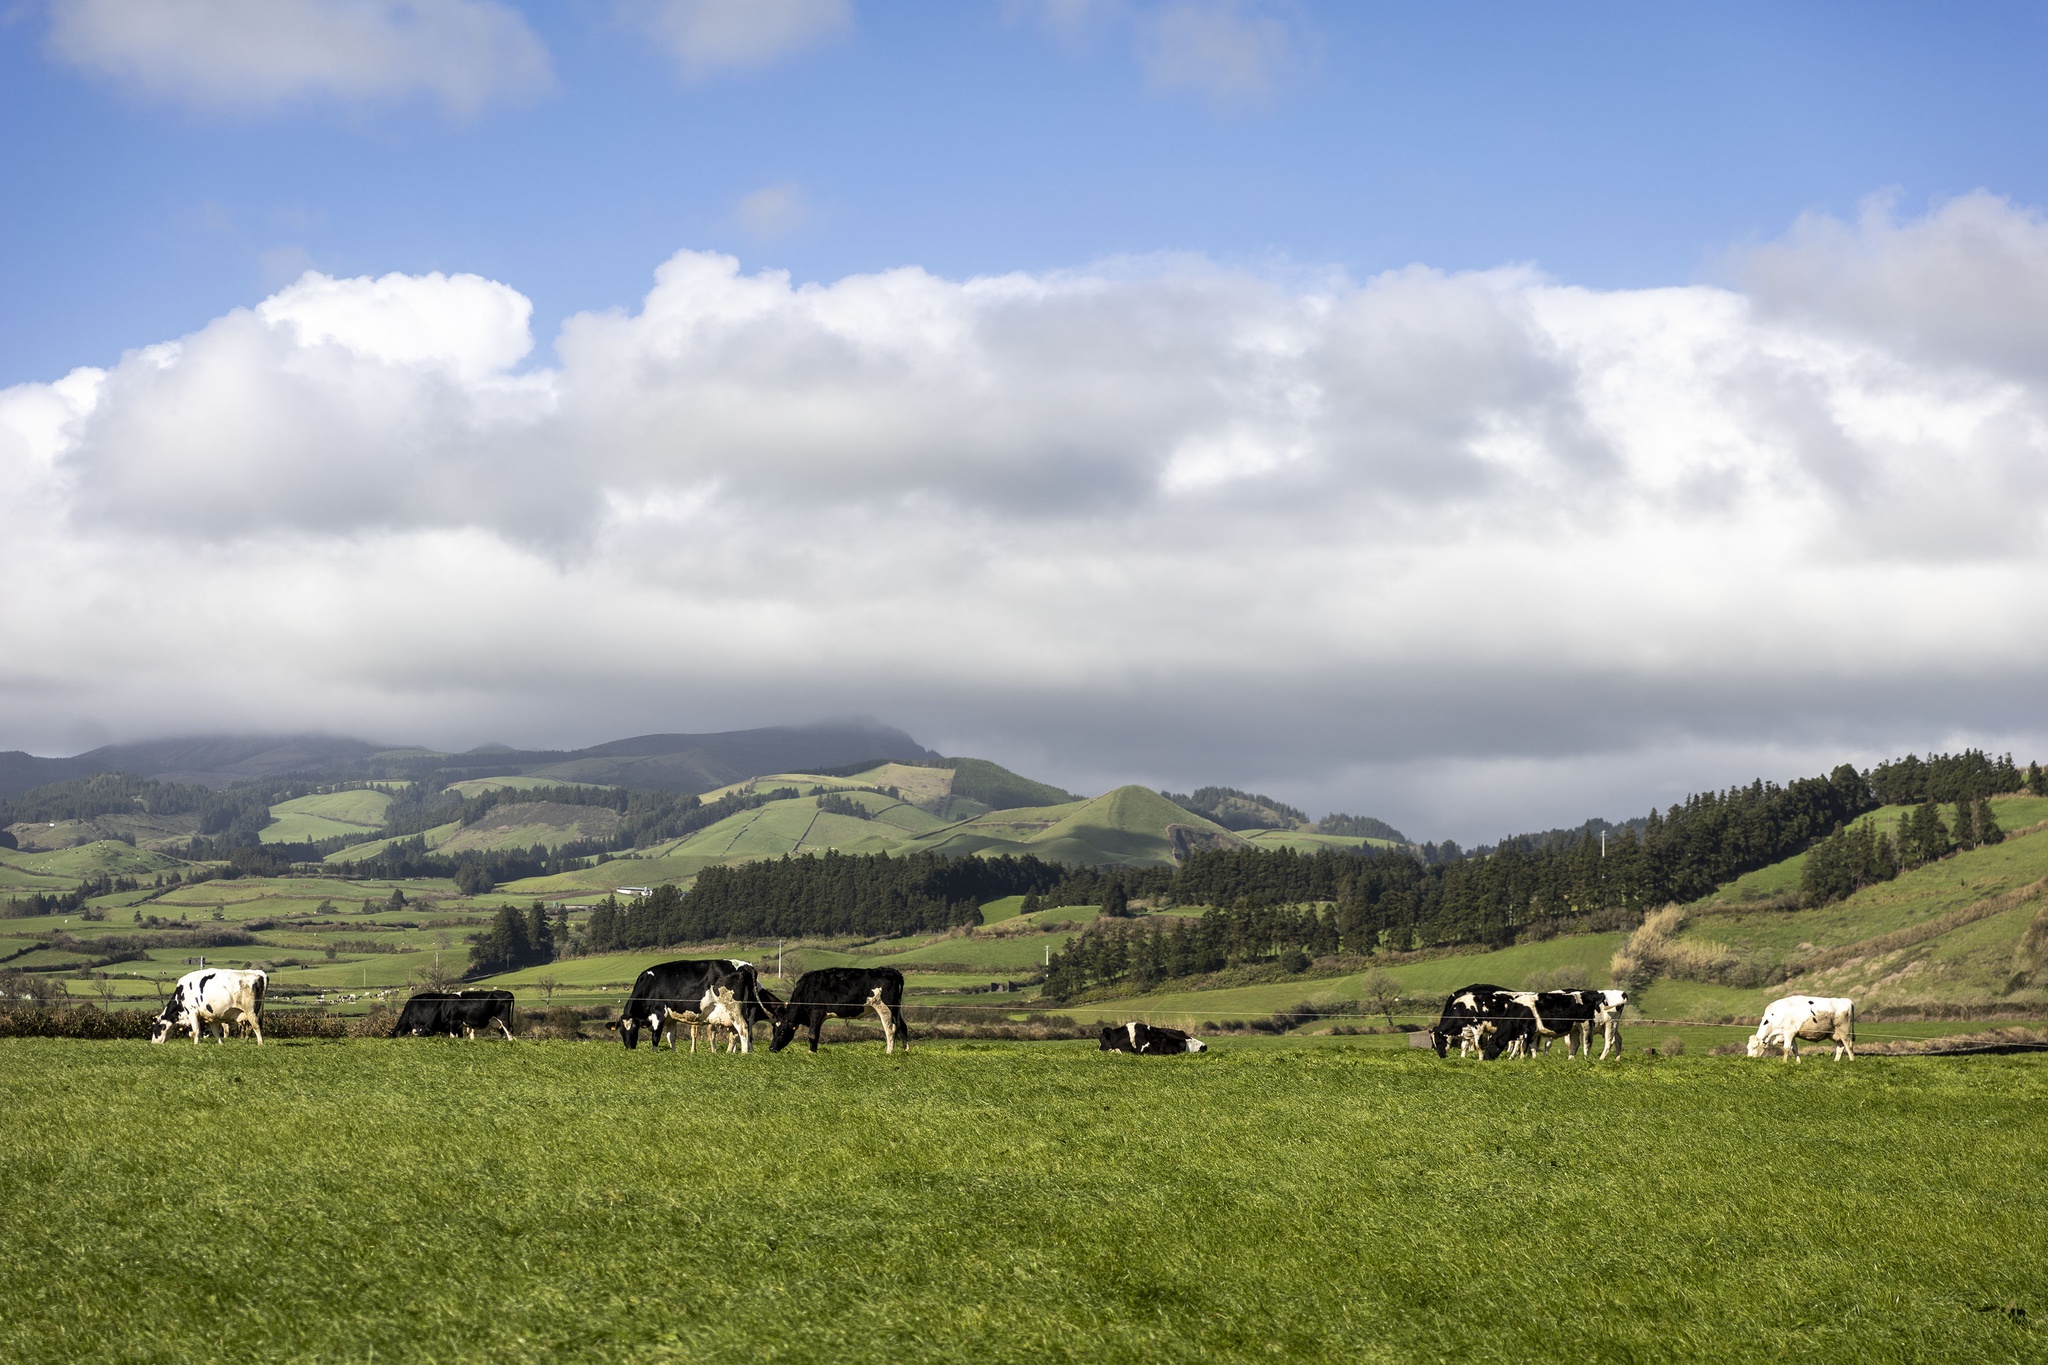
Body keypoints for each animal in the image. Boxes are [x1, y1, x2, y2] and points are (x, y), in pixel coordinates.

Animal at [610, 957, 770, 1055]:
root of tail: (746, 965)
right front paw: (673, 1053)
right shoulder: (671, 1018)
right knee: (745, 1031)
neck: (648, 985)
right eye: (621, 1031)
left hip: (733, 1008)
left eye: (634, 1028)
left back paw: (744, 1053)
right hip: (747, 1009)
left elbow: (656, 1036)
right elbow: (671, 1037)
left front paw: (654, 1053)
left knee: (742, 1029)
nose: (629, 1046)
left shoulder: (658, 1013)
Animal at [765, 965, 909, 1055]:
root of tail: (891, 971)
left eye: (782, 1030)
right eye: (773, 1030)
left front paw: (811, 1053)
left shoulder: (816, 1012)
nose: (771, 1048)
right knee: (902, 1026)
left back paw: (889, 1052)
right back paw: (906, 1051)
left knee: (890, 1029)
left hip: (884, 1006)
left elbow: (812, 1035)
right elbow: (815, 1034)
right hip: (896, 1008)